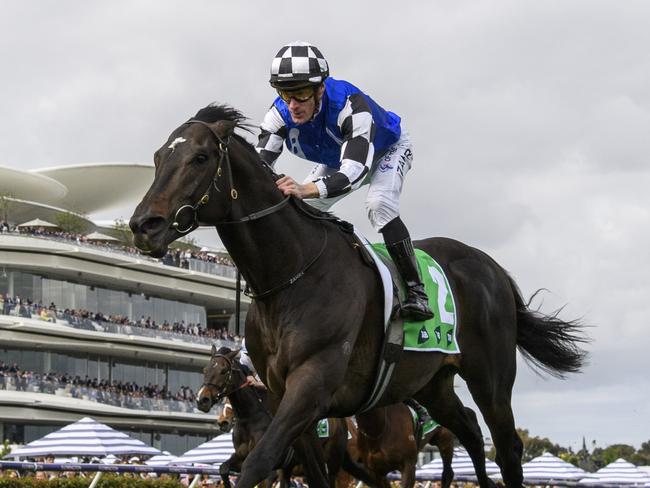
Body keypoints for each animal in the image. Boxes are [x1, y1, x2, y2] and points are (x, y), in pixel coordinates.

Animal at [128, 105, 588, 486]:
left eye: (200, 158)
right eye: (158, 157)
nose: (143, 225)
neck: (290, 275)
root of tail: (493, 269)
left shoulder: (313, 382)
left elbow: (259, 463)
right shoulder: (285, 397)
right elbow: (313, 474)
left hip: (489, 376)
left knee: (507, 448)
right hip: (430, 384)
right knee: (471, 431)